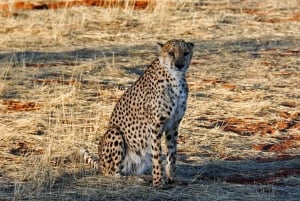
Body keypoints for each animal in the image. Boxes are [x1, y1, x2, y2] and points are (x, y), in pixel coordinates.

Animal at [81, 38, 195, 187]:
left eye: (186, 53)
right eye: (171, 52)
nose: (179, 65)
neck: (175, 78)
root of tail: (100, 163)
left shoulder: (173, 125)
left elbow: (172, 154)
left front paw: (172, 179)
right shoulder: (155, 126)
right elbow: (157, 155)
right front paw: (158, 182)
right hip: (115, 133)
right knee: (112, 173)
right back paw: (135, 179)